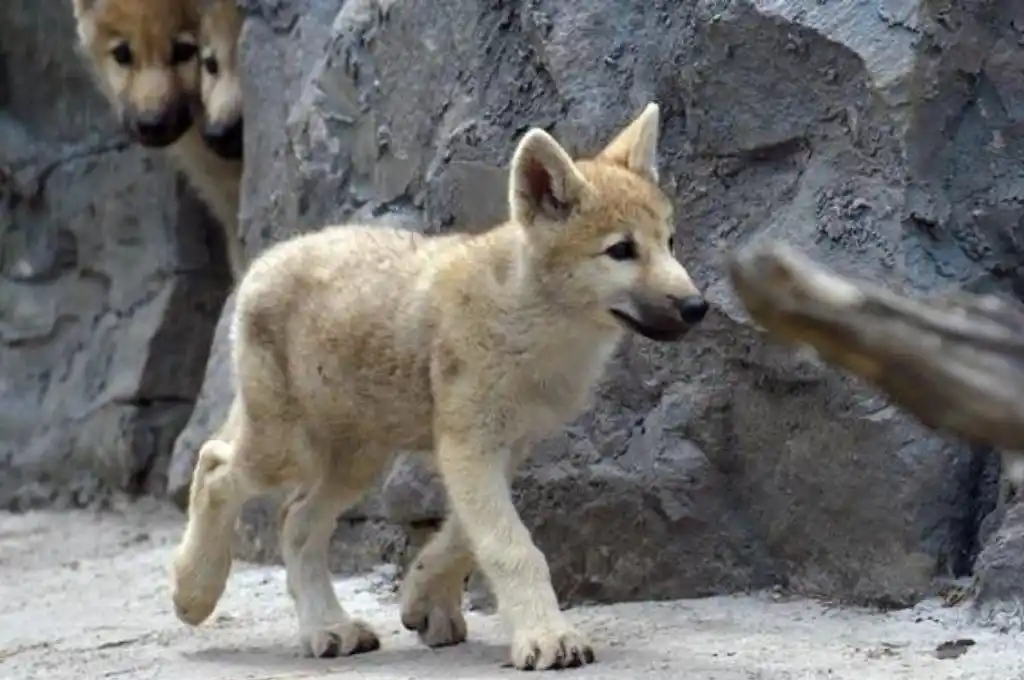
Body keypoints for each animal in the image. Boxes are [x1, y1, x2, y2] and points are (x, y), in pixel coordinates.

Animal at [170, 102, 710, 671]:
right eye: (621, 250)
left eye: (669, 242)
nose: (697, 306)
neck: (534, 324)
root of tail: (264, 261)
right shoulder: (469, 446)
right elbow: (512, 547)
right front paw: (547, 637)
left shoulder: (502, 448)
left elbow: (463, 537)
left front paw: (425, 599)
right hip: (286, 450)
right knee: (215, 466)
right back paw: (194, 591)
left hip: (357, 460)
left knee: (295, 520)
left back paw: (328, 627)